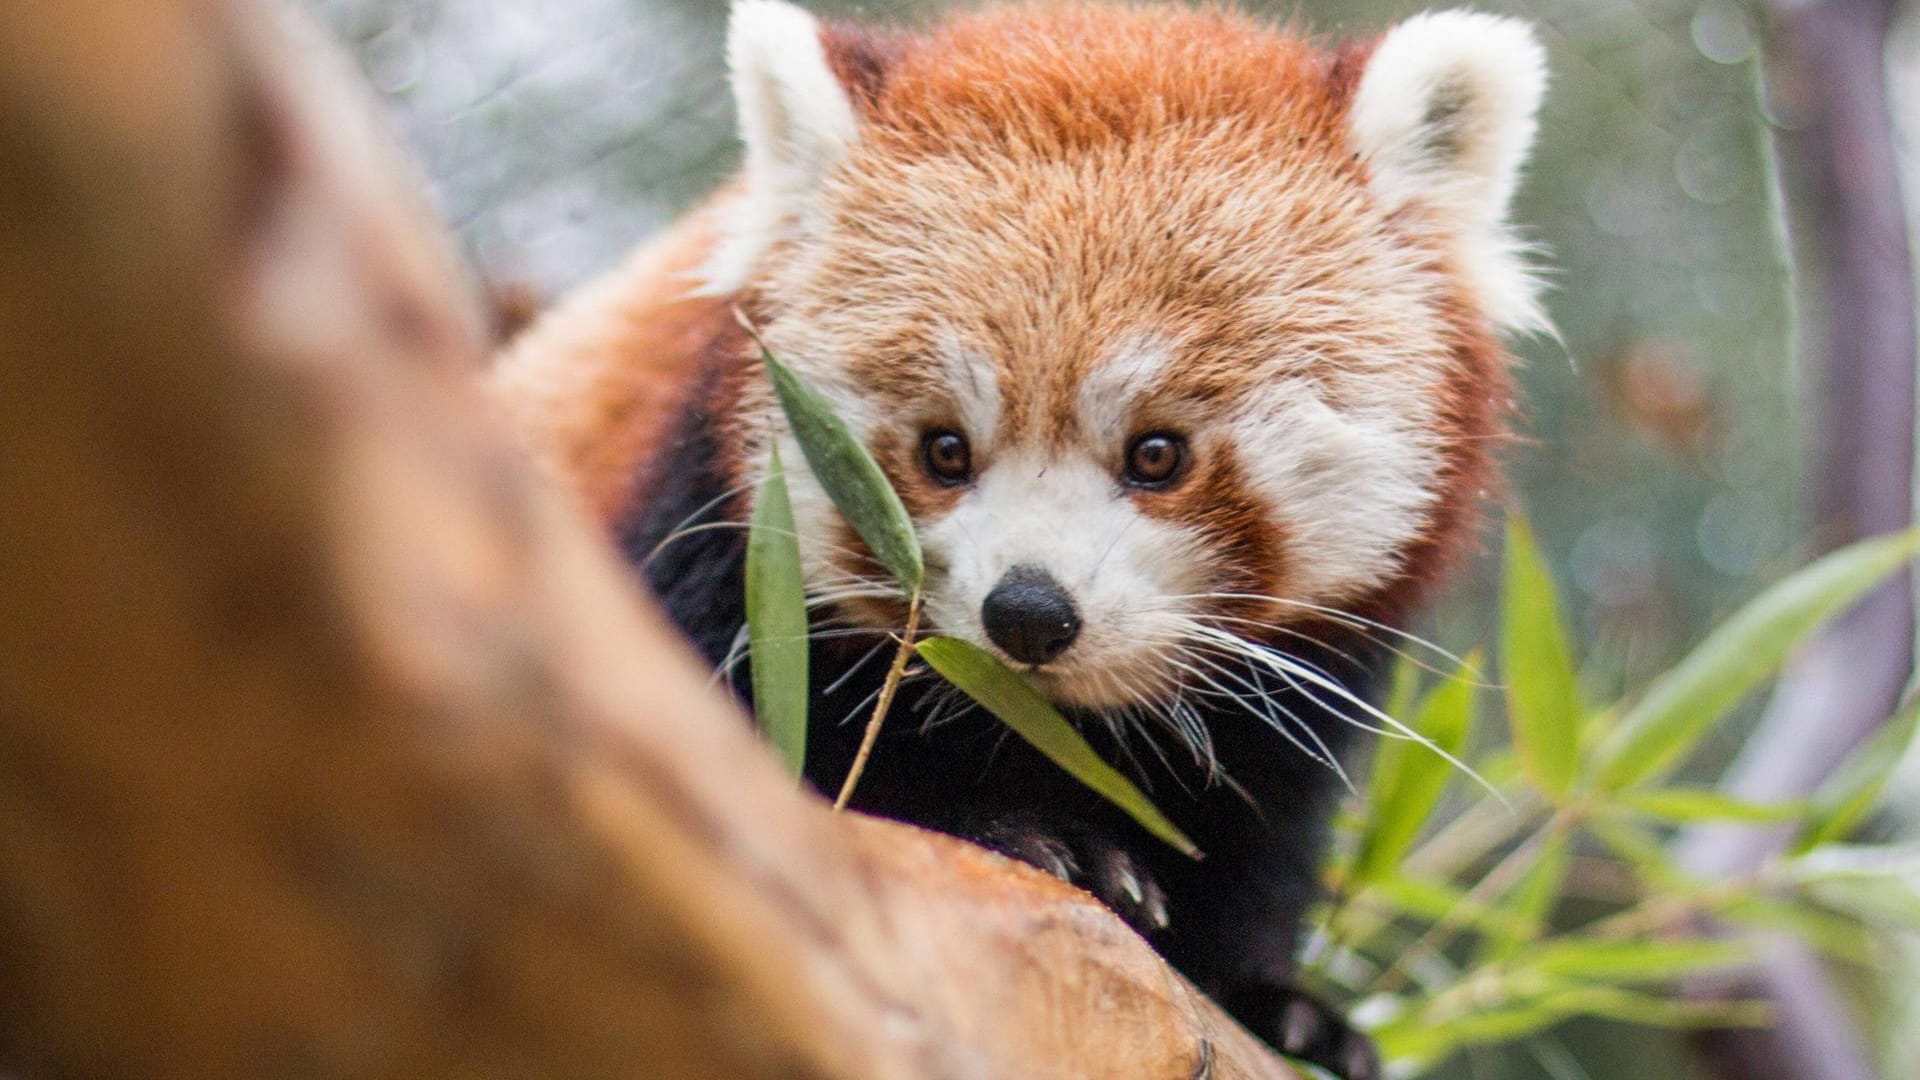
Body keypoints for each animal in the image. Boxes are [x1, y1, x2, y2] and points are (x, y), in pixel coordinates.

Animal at [491, 4, 1543, 1068]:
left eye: (1157, 454)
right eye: (944, 449)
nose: (1029, 612)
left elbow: (1260, 825)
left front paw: (1278, 1003)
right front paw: (1039, 837)